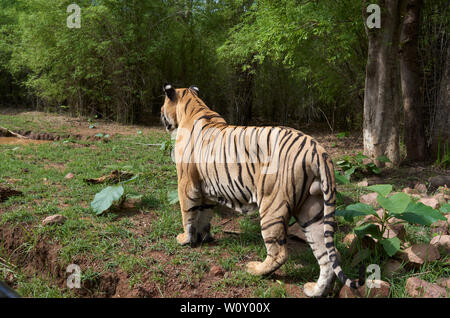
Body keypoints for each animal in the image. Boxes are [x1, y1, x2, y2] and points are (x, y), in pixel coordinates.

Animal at [160, 83, 364, 296]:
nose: (160, 113)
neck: (193, 106)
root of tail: (318, 150)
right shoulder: (207, 189)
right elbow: (204, 215)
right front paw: (204, 238)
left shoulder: (186, 184)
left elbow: (188, 214)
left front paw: (185, 239)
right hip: (312, 209)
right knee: (329, 254)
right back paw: (316, 290)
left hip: (272, 205)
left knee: (279, 252)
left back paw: (255, 269)